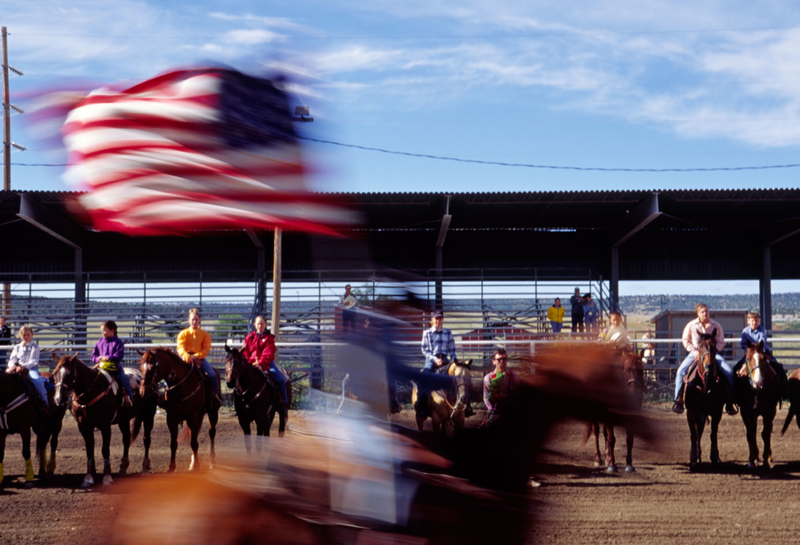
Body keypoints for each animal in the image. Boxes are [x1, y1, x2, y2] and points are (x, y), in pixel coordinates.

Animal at [53, 354, 145, 486]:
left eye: (70, 374)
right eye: (54, 373)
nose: (58, 399)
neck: (91, 392)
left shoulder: (105, 425)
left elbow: (105, 449)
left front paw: (107, 477)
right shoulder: (84, 426)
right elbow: (89, 449)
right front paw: (89, 477)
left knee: (146, 439)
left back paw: (145, 468)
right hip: (124, 420)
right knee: (126, 438)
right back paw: (123, 468)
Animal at [680, 330, 724, 466]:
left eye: (714, 346)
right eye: (700, 347)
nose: (709, 366)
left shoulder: (717, 412)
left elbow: (713, 433)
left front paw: (714, 456)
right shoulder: (691, 411)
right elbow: (693, 434)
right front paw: (693, 457)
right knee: (698, 431)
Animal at [736, 338, 780, 470]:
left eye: (763, 358)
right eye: (748, 358)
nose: (758, 381)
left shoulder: (770, 412)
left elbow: (765, 434)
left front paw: (765, 460)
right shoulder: (746, 412)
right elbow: (750, 434)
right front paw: (751, 460)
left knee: (768, 430)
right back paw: (755, 457)